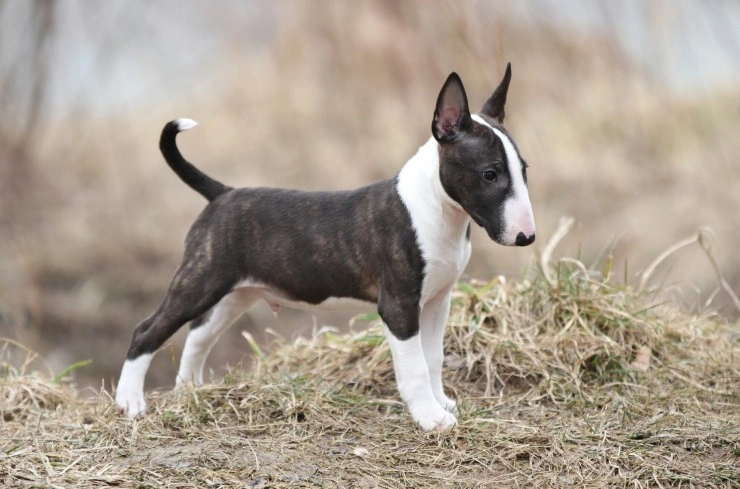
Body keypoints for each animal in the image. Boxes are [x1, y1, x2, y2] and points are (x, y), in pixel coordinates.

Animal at [114, 63, 532, 428]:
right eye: (489, 174)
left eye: (524, 170)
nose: (527, 237)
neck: (436, 209)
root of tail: (223, 194)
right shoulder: (399, 307)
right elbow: (414, 367)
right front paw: (431, 419)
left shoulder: (436, 302)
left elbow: (433, 358)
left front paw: (440, 402)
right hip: (199, 281)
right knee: (147, 331)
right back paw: (130, 401)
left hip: (234, 294)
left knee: (198, 336)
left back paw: (190, 392)